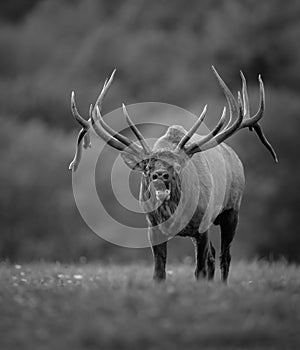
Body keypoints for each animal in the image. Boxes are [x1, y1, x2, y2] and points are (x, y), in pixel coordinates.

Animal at [68, 67, 276, 284]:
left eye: (177, 167)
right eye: (147, 167)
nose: (160, 175)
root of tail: (235, 157)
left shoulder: (203, 225)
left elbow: (199, 270)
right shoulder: (153, 228)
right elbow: (159, 272)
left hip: (232, 210)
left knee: (224, 257)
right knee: (212, 256)